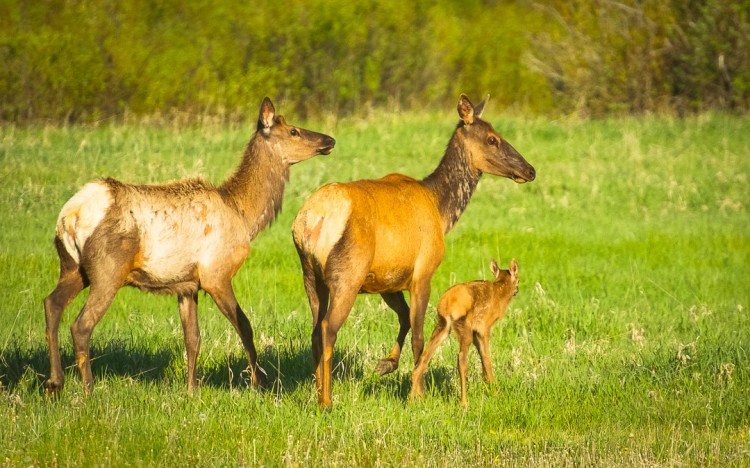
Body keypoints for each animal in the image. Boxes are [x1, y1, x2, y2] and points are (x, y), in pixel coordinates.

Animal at [41, 98, 334, 394]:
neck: (243, 215)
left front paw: (192, 389)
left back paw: (55, 381)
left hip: (73, 267)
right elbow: (244, 325)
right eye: (294, 131)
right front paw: (260, 382)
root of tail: (71, 215)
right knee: (81, 325)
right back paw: (88, 388)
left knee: (51, 303)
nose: (329, 140)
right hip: (108, 270)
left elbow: (192, 337)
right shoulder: (216, 274)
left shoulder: (187, 285)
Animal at [412, 258, 524, 408]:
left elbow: (482, 357)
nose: (517, 290)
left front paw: (488, 386)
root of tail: (445, 304)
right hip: (464, 326)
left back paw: (412, 400)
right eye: (518, 279)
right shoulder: (484, 327)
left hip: (442, 325)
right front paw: (495, 392)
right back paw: (464, 402)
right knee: (461, 360)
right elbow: (487, 358)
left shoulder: (476, 331)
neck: (500, 298)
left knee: (423, 359)